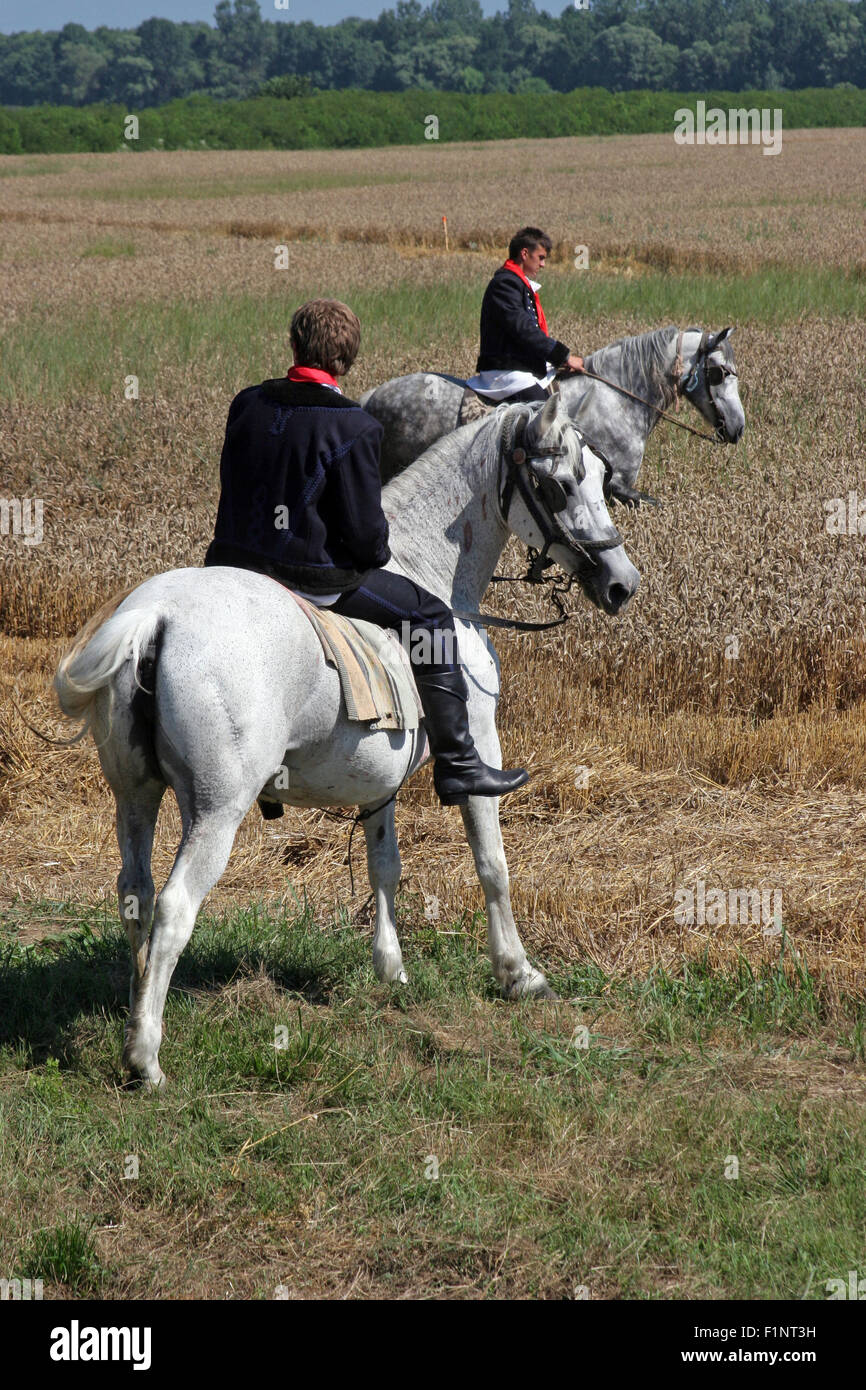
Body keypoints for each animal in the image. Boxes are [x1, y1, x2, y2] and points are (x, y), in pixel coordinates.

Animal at [54, 395, 640, 1089]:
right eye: (561, 484)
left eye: (600, 477)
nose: (622, 584)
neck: (425, 565)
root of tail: (158, 615)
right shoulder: (481, 745)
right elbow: (492, 864)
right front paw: (519, 974)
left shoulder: (377, 780)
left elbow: (385, 866)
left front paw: (392, 968)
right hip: (217, 810)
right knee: (172, 908)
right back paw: (146, 1057)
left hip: (135, 797)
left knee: (136, 899)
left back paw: (137, 1008)